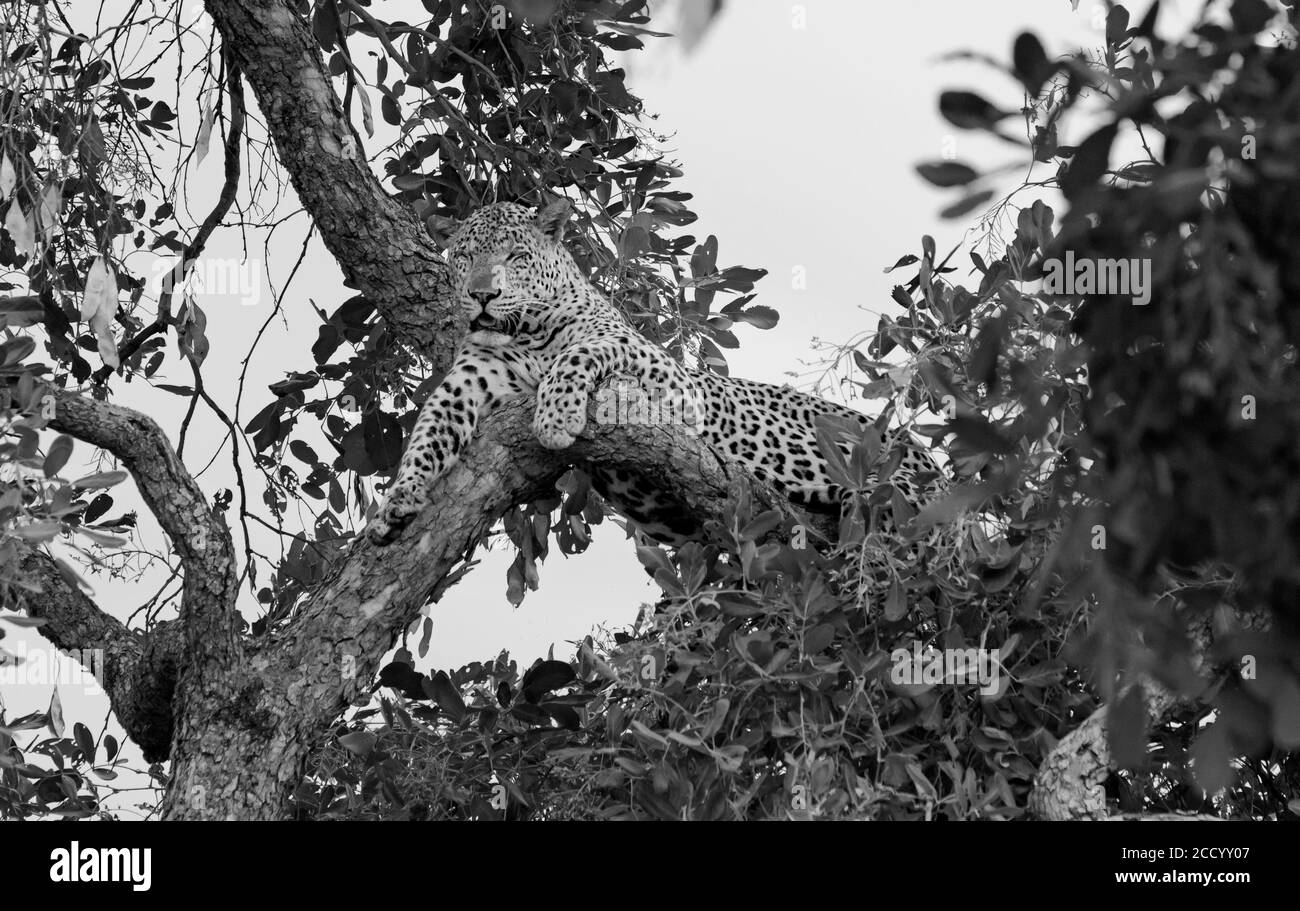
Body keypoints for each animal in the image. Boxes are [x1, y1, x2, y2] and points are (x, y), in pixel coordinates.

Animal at [367, 199, 947, 552]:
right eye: (465, 256)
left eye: (515, 255)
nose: (481, 295)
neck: (525, 331)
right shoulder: (469, 378)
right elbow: (428, 431)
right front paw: (398, 501)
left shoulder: (669, 375)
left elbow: (582, 352)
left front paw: (555, 418)